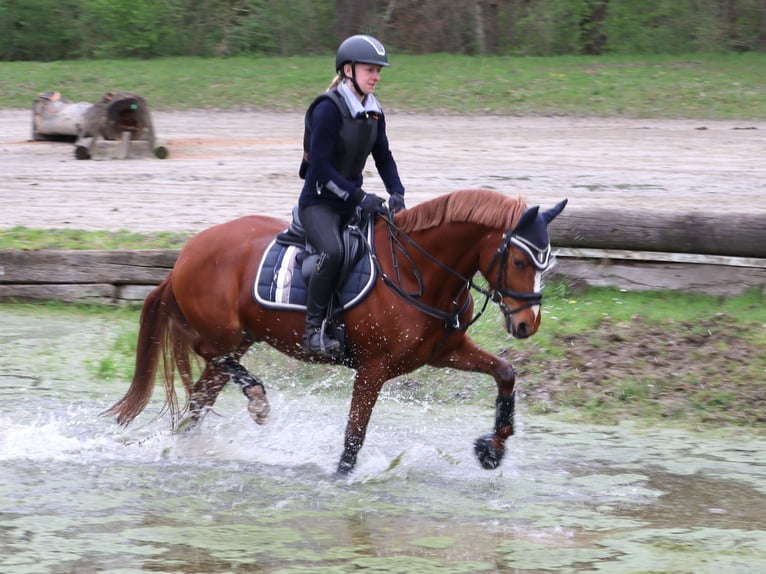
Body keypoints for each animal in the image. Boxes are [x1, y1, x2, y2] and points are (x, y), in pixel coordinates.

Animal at [105, 191, 568, 474]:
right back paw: (256, 396)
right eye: (521, 262)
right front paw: (341, 478)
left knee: (199, 400)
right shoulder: (374, 368)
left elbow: (505, 372)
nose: (527, 325)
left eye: (546, 261)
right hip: (223, 334)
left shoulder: (446, 351)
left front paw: (493, 448)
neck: (422, 270)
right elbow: (354, 436)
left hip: (241, 339)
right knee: (206, 351)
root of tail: (186, 253)